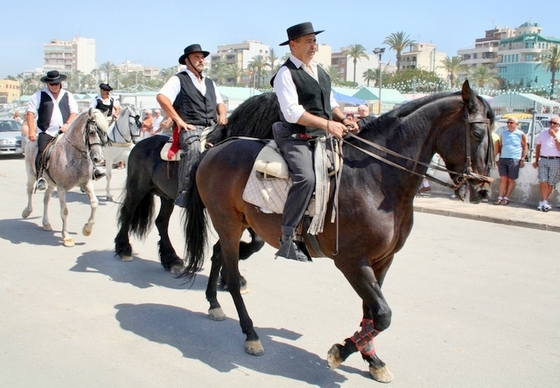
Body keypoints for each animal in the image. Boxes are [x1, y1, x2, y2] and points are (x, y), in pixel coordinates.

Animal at [22, 107, 109, 247]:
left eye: (105, 134)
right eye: (91, 132)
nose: (98, 158)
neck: (74, 154)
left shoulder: (86, 183)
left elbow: (94, 203)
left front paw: (87, 229)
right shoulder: (61, 188)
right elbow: (64, 211)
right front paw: (66, 237)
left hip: (50, 183)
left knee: (46, 199)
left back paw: (46, 223)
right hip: (31, 174)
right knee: (30, 190)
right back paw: (27, 211)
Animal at [114, 91, 280, 272]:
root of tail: (140, 144)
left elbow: (258, 241)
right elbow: (253, 241)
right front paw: (239, 256)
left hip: (167, 196)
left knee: (161, 222)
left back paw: (171, 259)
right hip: (137, 189)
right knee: (128, 212)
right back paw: (124, 249)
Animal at [179, 81, 494, 382]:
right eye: (478, 132)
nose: (483, 189)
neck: (376, 179)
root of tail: (215, 149)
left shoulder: (382, 260)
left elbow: (371, 313)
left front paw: (373, 360)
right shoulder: (352, 262)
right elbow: (383, 315)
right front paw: (341, 351)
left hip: (236, 224)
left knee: (219, 254)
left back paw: (214, 304)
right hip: (228, 223)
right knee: (231, 275)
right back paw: (251, 334)